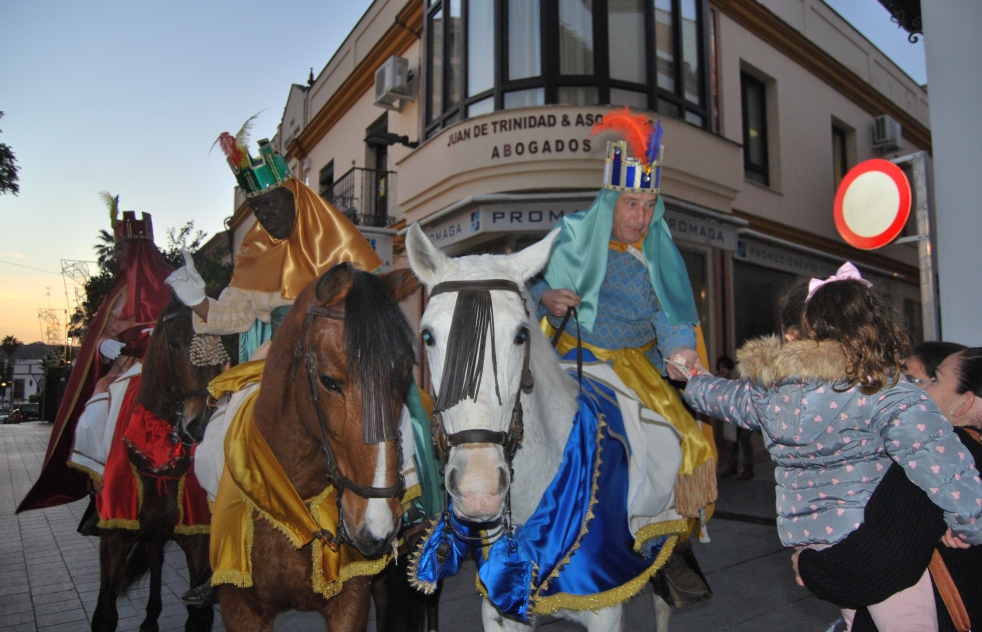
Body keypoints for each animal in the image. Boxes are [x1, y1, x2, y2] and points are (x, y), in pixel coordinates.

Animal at [91, 300, 224, 632]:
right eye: (174, 342)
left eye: (220, 345)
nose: (199, 424)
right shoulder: (114, 537)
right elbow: (106, 613)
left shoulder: (198, 538)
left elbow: (199, 616)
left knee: (155, 558)